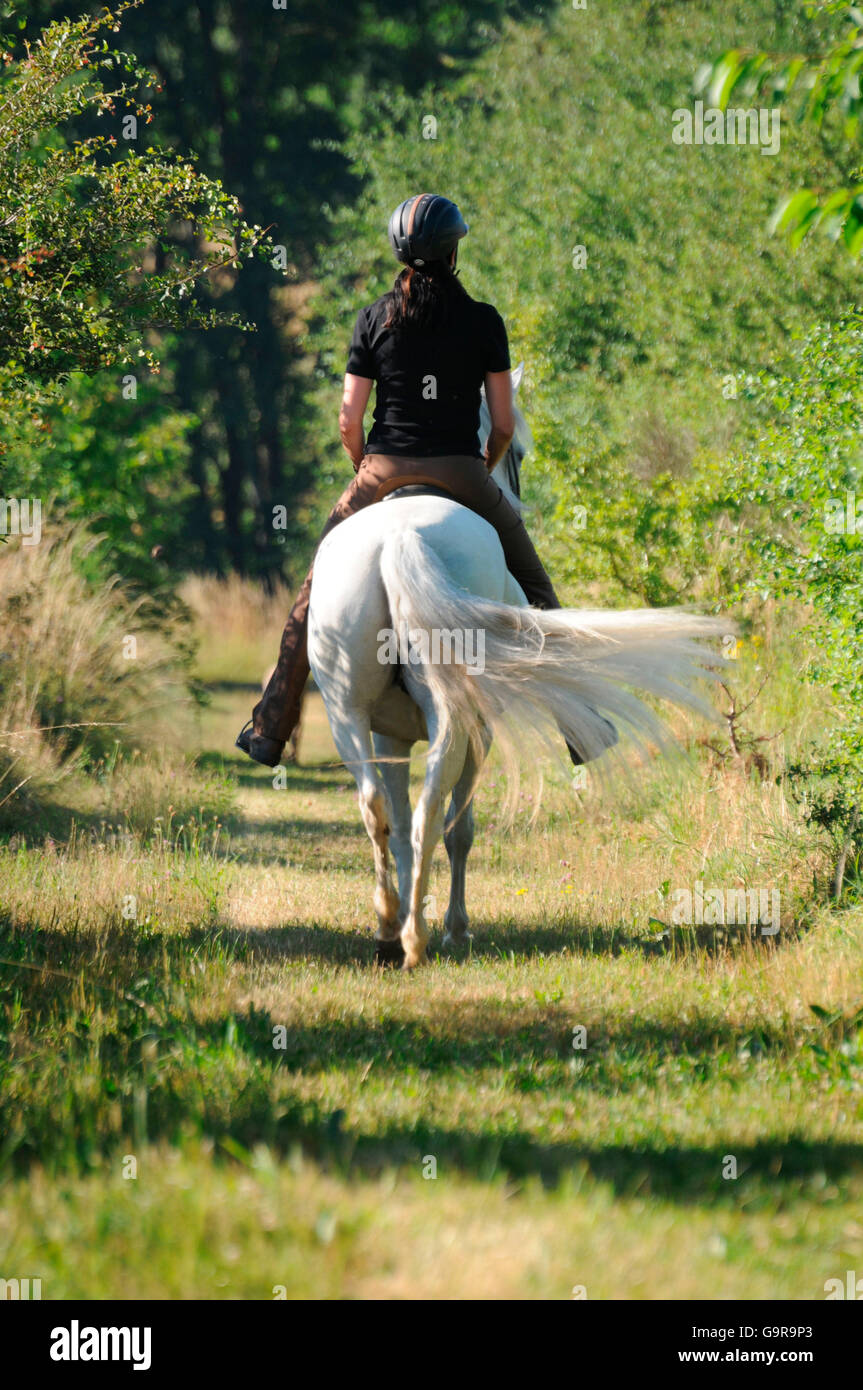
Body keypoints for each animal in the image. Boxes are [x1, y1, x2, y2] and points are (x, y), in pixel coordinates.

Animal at [305, 364, 722, 967]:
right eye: (519, 452)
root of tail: (400, 538)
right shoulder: (477, 730)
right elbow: (457, 829)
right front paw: (452, 925)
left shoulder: (390, 735)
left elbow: (399, 822)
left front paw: (410, 910)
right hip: (451, 721)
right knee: (432, 811)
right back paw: (420, 938)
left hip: (348, 714)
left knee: (377, 807)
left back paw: (392, 930)